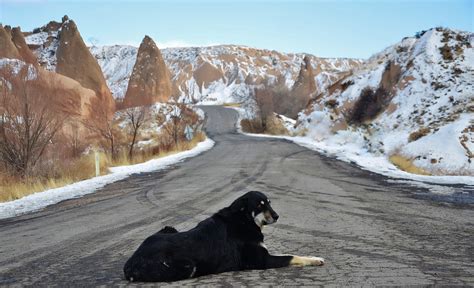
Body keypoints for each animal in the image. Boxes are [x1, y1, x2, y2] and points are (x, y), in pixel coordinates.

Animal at [122, 190, 324, 282]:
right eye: (259, 206)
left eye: (268, 202)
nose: (276, 216)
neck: (244, 220)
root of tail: (130, 262)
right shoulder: (261, 261)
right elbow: (292, 256)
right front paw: (315, 259)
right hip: (188, 266)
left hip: (168, 228)